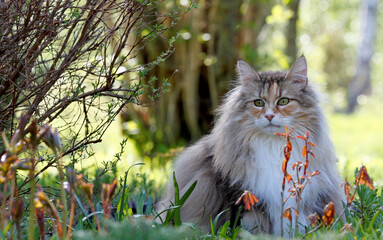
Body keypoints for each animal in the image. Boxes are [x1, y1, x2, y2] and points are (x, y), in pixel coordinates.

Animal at [156, 56, 344, 236]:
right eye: (259, 103)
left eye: (283, 101)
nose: (269, 116)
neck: (273, 146)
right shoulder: (239, 196)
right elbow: (245, 225)